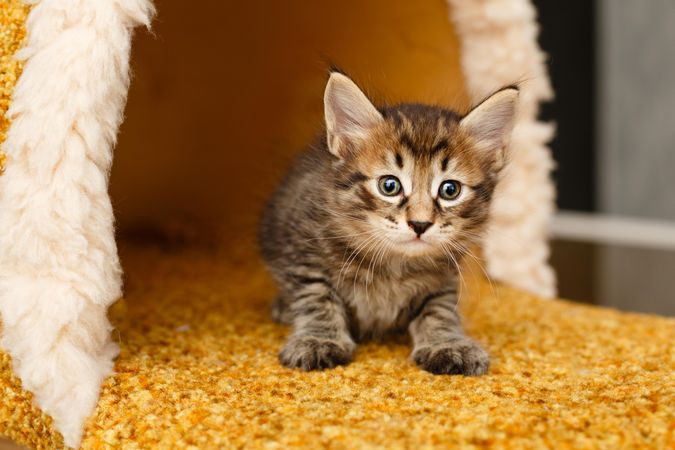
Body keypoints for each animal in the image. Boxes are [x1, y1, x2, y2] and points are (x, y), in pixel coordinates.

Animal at [260, 73, 516, 376]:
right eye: (389, 186)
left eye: (450, 190)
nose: (420, 223)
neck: (393, 264)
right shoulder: (302, 251)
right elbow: (317, 298)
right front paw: (319, 339)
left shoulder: (444, 279)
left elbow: (439, 310)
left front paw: (446, 343)